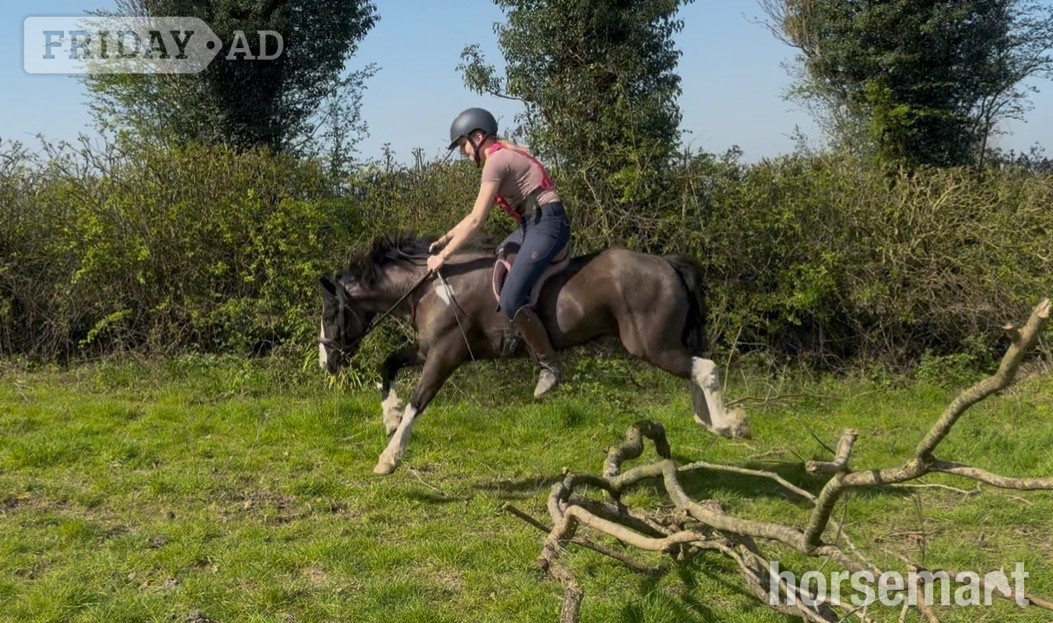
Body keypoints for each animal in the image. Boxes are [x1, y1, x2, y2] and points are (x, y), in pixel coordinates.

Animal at [319, 233, 749, 475]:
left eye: (329, 314)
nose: (328, 363)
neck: (431, 287)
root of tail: (667, 263)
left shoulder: (444, 355)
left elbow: (418, 401)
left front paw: (389, 457)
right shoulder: (428, 350)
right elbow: (387, 366)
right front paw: (389, 417)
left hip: (650, 344)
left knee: (704, 368)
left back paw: (728, 424)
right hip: (661, 344)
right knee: (695, 369)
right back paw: (710, 422)